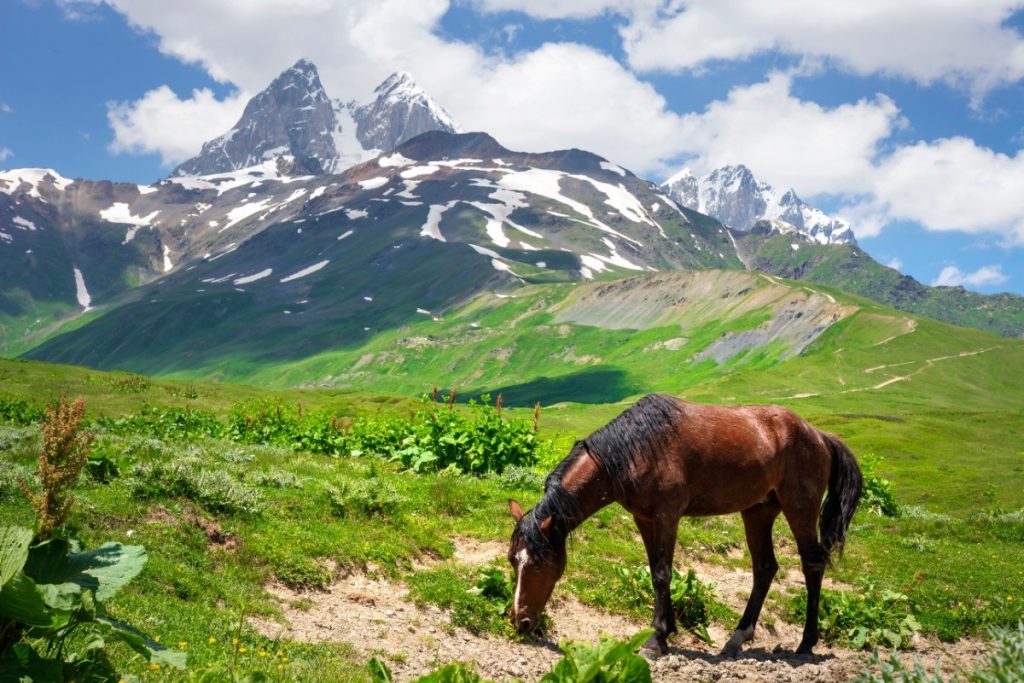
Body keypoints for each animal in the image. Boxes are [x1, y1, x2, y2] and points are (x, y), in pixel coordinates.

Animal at [507, 395, 860, 655]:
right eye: (514, 561)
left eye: (539, 564)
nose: (519, 621)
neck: (636, 449)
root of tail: (819, 436)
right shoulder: (644, 518)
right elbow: (655, 571)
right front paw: (666, 631)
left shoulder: (667, 515)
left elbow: (663, 573)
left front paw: (656, 640)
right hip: (758, 512)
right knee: (765, 568)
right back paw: (737, 639)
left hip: (800, 509)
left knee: (812, 564)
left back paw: (805, 644)